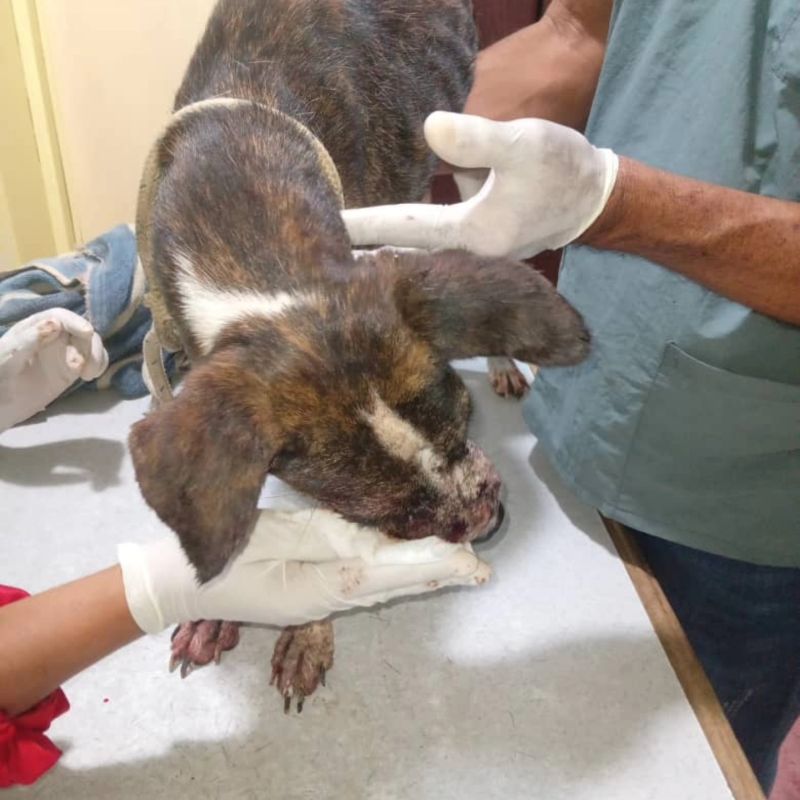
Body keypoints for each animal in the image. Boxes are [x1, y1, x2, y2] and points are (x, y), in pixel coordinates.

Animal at [130, 0, 590, 710]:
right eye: (397, 513)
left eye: (463, 425)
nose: (489, 516)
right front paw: (219, 606)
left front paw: (306, 632)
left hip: (470, 152)